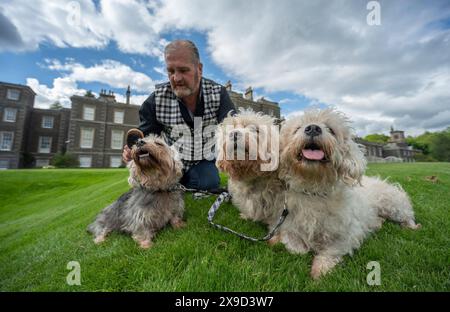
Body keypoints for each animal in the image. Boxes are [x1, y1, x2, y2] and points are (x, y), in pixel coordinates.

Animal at [276, 109, 420, 278]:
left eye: (331, 129)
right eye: (297, 128)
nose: (313, 128)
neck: (314, 189)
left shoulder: (348, 233)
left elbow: (332, 250)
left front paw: (320, 268)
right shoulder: (287, 224)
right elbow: (294, 246)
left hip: (393, 206)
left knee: (407, 217)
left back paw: (411, 226)